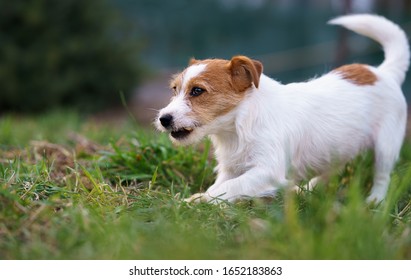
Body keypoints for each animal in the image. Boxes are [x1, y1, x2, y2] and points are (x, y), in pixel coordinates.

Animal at [156, 14, 410, 203]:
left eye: (197, 91)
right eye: (174, 89)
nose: (163, 119)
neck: (238, 126)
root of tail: (383, 72)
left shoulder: (268, 170)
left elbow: (231, 187)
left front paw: (203, 201)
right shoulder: (230, 167)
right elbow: (221, 185)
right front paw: (196, 199)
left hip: (386, 146)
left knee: (382, 176)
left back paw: (375, 201)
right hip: (337, 148)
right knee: (331, 171)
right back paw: (307, 191)